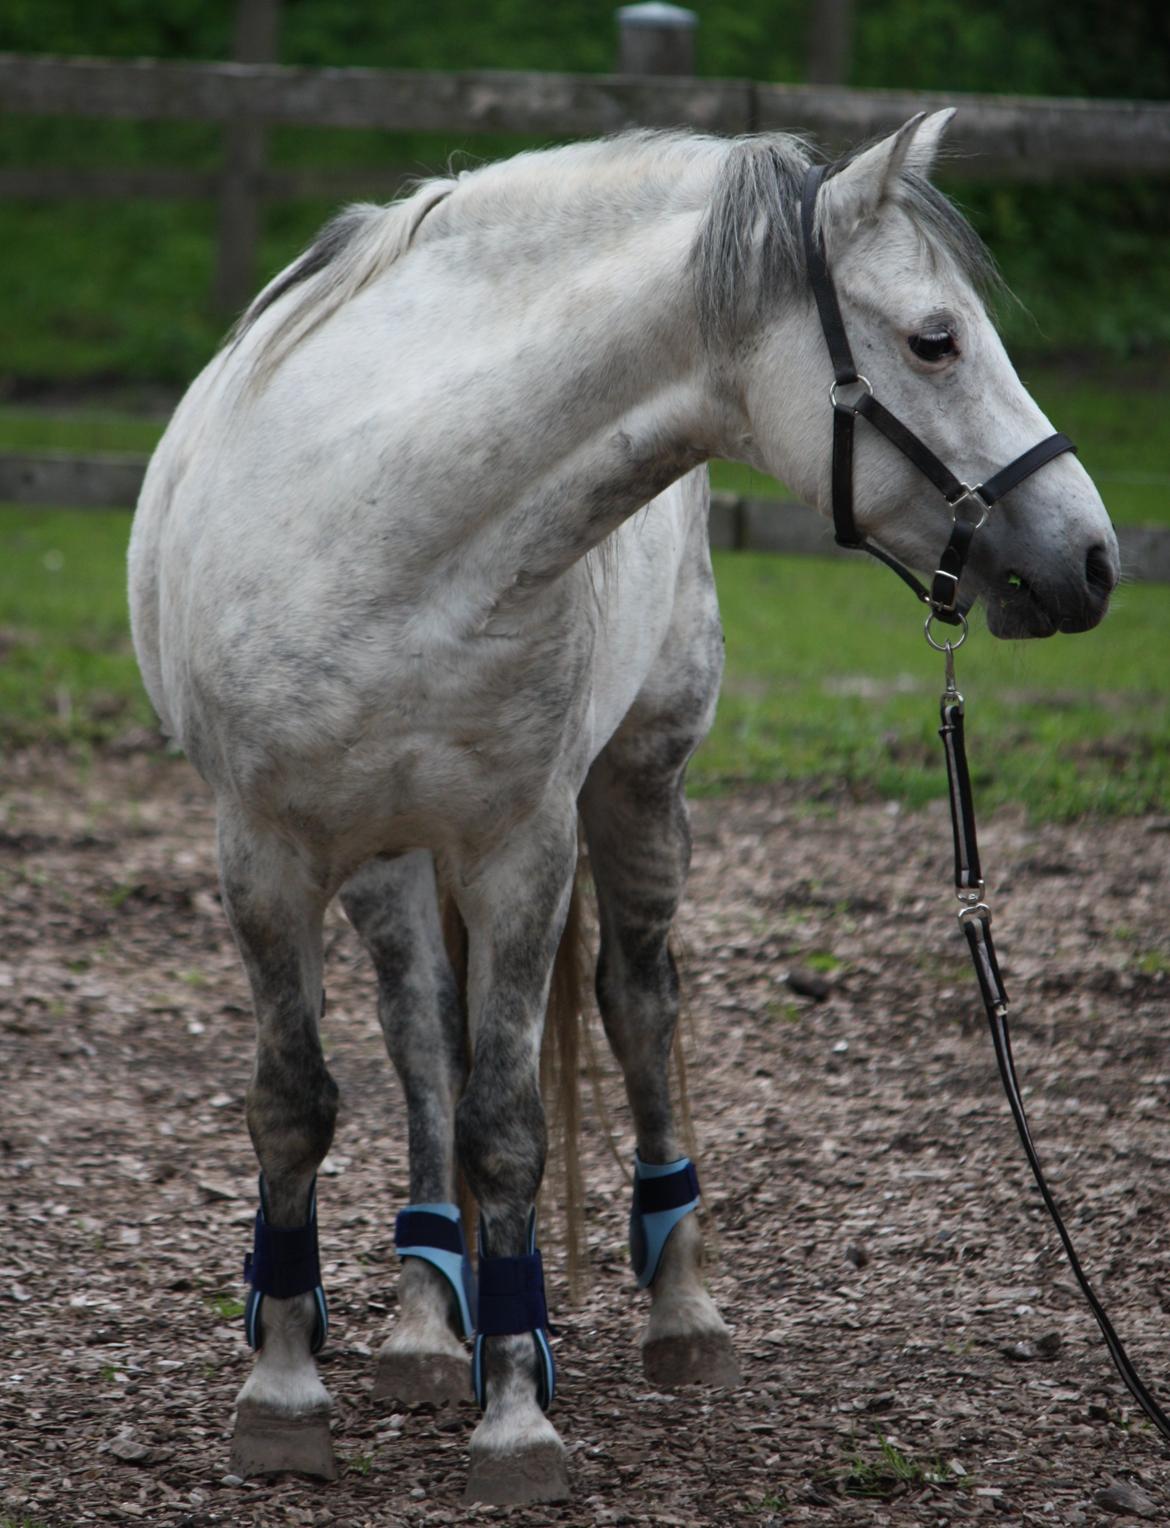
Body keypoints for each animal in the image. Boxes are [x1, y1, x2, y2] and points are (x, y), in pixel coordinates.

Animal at [126, 110, 1118, 1503]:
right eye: (936, 339)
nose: (1093, 558)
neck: (388, 525)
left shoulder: (523, 852)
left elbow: (507, 1126)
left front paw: (515, 1418)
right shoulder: (262, 851)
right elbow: (296, 1102)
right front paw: (282, 1387)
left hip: (640, 786)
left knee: (638, 1008)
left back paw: (673, 1312)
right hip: (383, 855)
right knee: (421, 1039)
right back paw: (428, 1319)